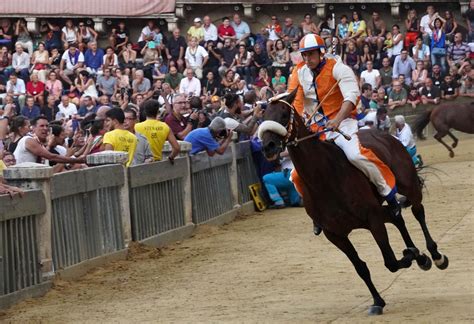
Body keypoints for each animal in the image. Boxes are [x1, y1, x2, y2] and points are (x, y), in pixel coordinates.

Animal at [260, 90, 448, 316]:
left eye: (283, 114)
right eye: (263, 116)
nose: (268, 146)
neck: (324, 177)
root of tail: (385, 135)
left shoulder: (372, 218)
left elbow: (390, 261)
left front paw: (411, 254)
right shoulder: (335, 234)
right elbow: (361, 267)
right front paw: (378, 301)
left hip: (407, 185)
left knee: (418, 211)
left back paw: (434, 255)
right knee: (396, 216)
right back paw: (419, 254)